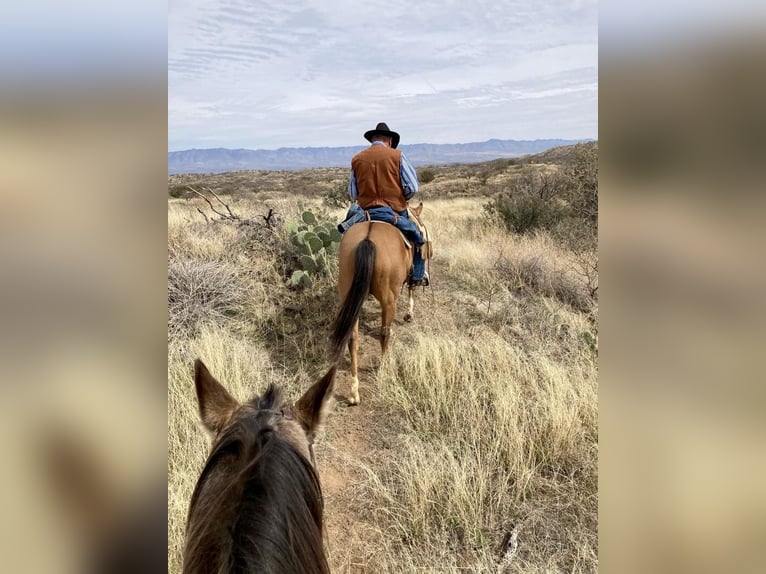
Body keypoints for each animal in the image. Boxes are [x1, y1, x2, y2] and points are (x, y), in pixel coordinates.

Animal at [330, 202, 428, 404]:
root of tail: (368, 238)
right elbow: (411, 289)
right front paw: (409, 314)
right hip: (388, 298)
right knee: (384, 333)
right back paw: (384, 367)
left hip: (349, 295)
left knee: (353, 338)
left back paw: (354, 391)